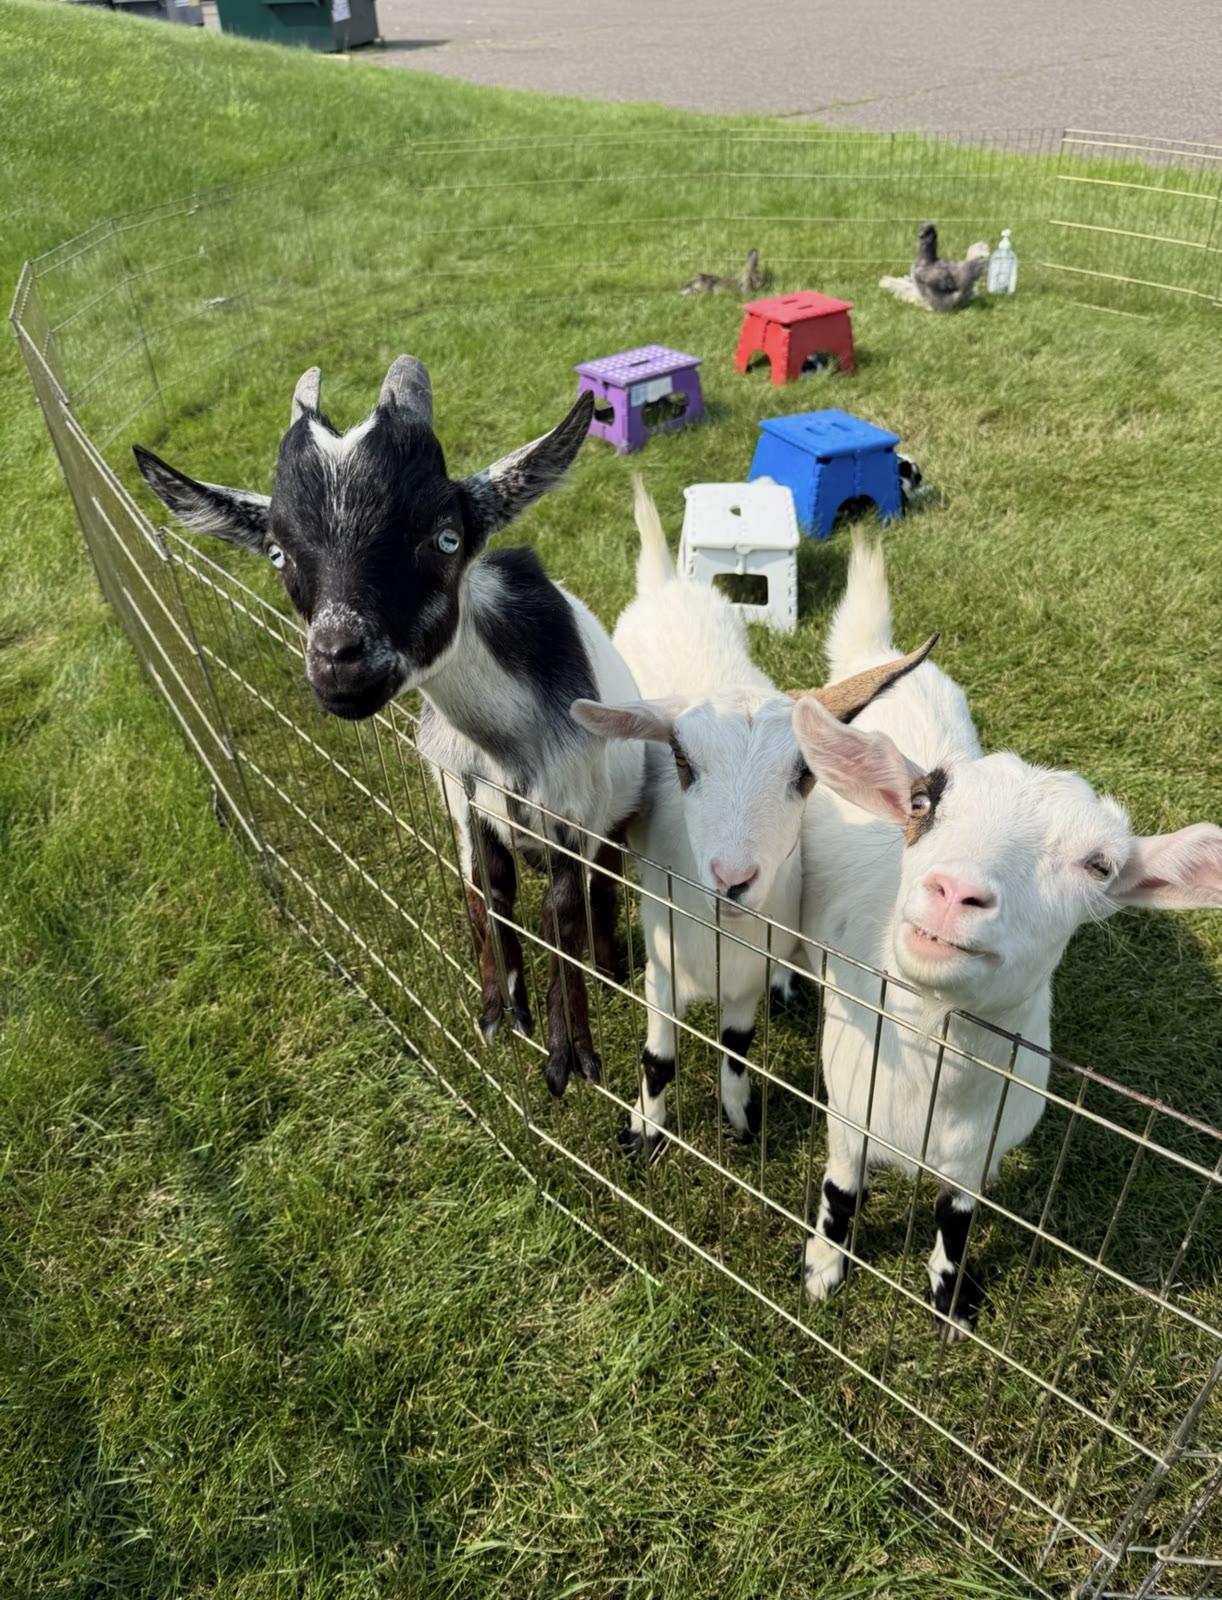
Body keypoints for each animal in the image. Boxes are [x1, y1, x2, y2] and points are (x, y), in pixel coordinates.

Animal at [133, 358, 644, 1098]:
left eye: (445, 537)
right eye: (278, 553)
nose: (338, 662)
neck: (502, 746)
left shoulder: (572, 806)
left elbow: (563, 914)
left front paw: (569, 1053)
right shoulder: (459, 794)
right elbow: (482, 891)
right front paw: (499, 1008)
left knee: (604, 885)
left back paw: (612, 968)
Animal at [572, 483, 934, 1159]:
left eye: (805, 773)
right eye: (682, 762)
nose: (733, 879)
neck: (720, 939)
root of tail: (665, 581)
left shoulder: (746, 978)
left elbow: (738, 1048)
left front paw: (740, 1120)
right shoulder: (663, 974)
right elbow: (658, 1059)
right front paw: (645, 1131)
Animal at [792, 537, 1222, 1336]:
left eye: (1099, 864)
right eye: (923, 804)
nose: (954, 893)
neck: (934, 1087)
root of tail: (882, 651)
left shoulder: (981, 1157)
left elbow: (955, 1221)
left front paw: (951, 1302)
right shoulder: (846, 1114)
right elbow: (839, 1194)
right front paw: (822, 1271)